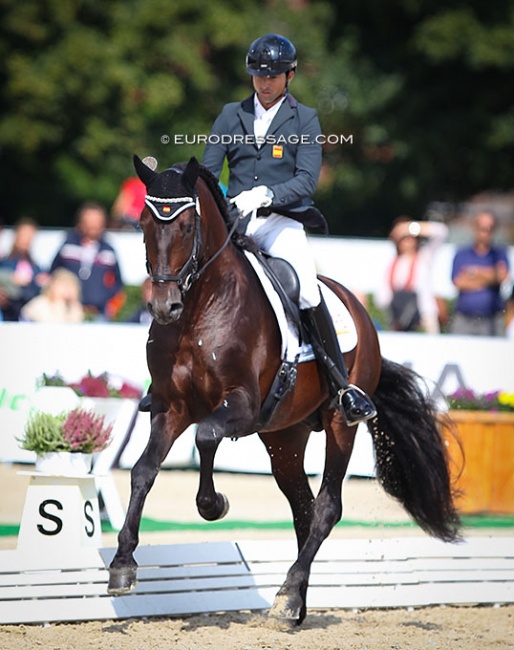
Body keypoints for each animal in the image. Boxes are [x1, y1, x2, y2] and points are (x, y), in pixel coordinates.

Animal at [108, 156, 460, 624]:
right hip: (284, 437)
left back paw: (289, 593)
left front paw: (212, 504)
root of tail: (359, 309)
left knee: (327, 507)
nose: (165, 307)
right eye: (144, 223)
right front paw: (122, 565)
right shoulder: (171, 406)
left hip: (340, 423)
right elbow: (143, 471)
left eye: (185, 226)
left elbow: (207, 436)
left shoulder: (240, 404)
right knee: (303, 509)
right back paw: (295, 604)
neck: (200, 308)